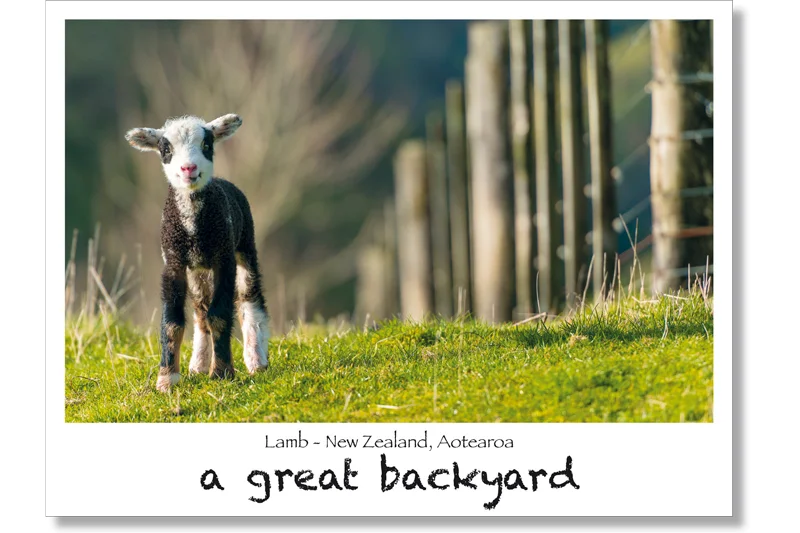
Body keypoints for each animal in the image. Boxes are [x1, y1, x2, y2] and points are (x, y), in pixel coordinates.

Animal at [125, 114, 269, 392]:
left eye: (207, 144)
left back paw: (257, 360)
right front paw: (167, 380)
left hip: (245, 244)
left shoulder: (224, 259)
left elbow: (219, 315)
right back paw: (198, 364)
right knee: (200, 310)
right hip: (197, 270)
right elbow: (172, 322)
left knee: (250, 298)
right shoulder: (173, 262)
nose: (188, 168)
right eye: (165, 149)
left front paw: (222, 372)